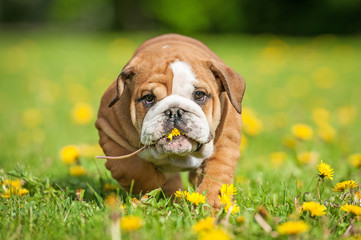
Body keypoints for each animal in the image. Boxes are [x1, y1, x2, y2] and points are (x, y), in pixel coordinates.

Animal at [95, 33, 245, 208]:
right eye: (148, 98)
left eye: (199, 95)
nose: (174, 111)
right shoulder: (109, 131)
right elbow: (130, 168)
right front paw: (160, 183)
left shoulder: (226, 142)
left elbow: (218, 171)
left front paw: (212, 202)